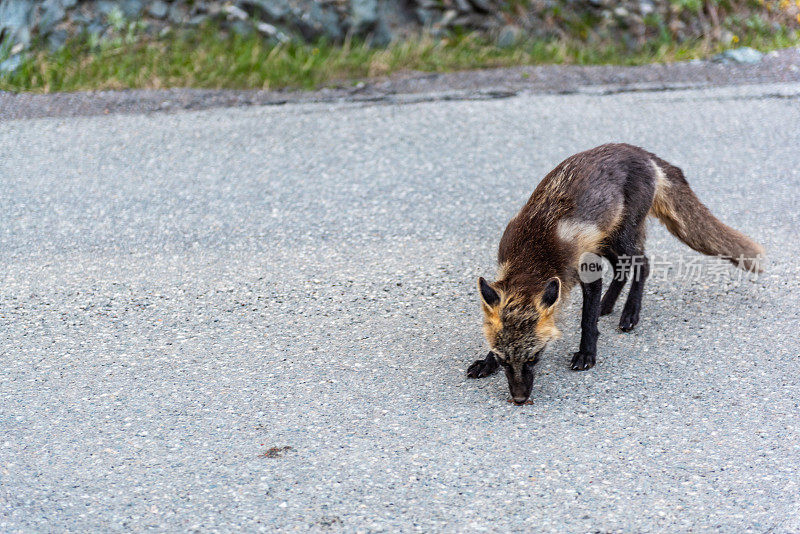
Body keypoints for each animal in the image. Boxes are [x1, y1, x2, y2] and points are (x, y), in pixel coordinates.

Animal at [466, 143, 764, 406]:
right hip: (607, 240)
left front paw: (587, 353)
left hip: (622, 236)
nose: (519, 399)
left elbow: (587, 322)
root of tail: (640, 151)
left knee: (642, 263)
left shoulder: (586, 269)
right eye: (504, 360)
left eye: (534, 358)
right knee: (623, 269)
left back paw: (630, 313)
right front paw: (486, 362)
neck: (534, 253)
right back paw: (607, 305)